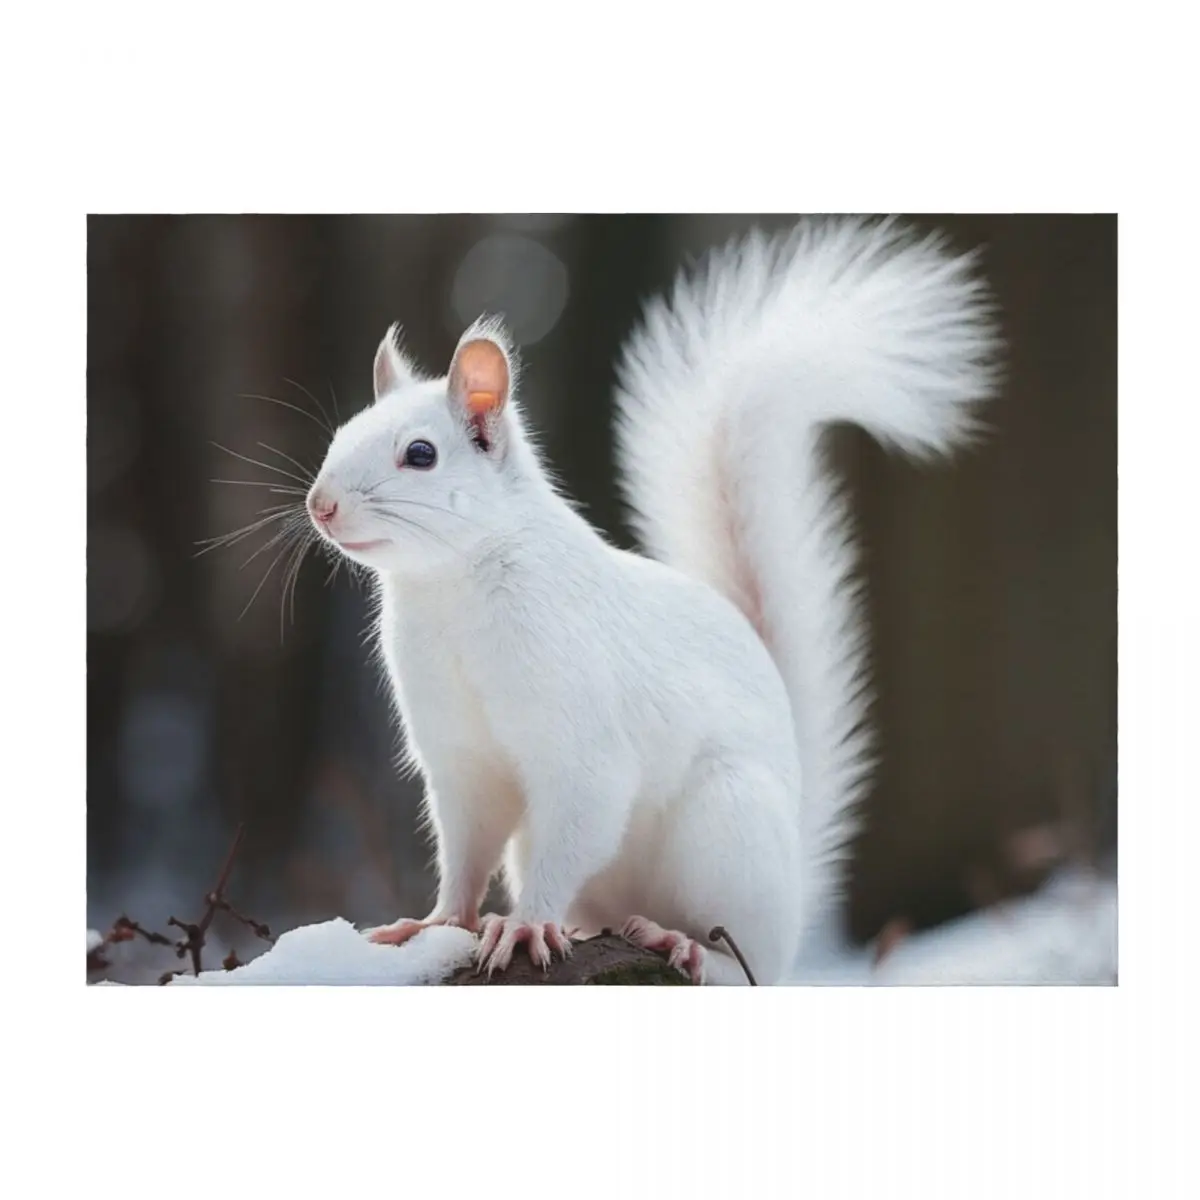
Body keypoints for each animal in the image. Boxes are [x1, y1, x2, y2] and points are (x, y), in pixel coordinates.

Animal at [305, 216, 999, 984]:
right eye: (339, 436)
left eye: (420, 454)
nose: (320, 505)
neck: (449, 590)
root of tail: (792, 891)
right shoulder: (459, 759)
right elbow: (465, 849)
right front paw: (436, 924)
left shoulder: (583, 743)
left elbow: (578, 822)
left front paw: (526, 924)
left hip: (726, 831)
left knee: (738, 955)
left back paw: (682, 943)